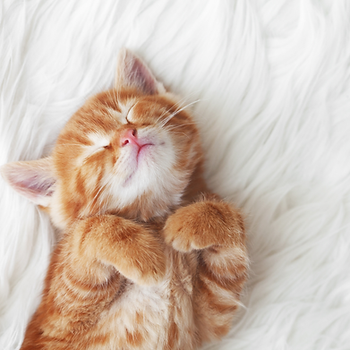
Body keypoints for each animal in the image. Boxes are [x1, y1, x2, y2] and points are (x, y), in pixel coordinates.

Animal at [0, 49, 249, 350]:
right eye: (95, 150)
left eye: (128, 113)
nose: (128, 136)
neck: (155, 215)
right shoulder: (59, 322)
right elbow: (87, 231)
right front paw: (143, 254)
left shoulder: (209, 316)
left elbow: (230, 223)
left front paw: (191, 222)